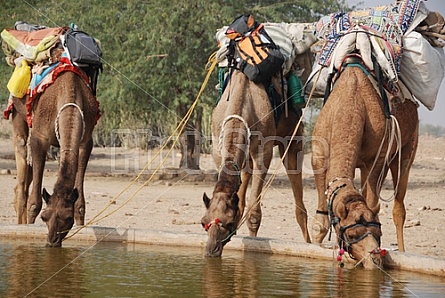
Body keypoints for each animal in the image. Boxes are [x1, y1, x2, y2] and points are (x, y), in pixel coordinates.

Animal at [10, 51, 99, 247]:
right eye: (45, 217)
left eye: (67, 218)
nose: (52, 241)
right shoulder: (39, 138)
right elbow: (34, 203)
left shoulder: (85, 141)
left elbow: (80, 204)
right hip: (17, 112)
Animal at [201, 51, 312, 256]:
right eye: (203, 221)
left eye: (228, 222)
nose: (211, 250)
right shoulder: (218, 151)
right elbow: (239, 201)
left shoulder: (264, 150)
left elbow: (254, 214)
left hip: (293, 136)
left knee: (297, 190)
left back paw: (309, 242)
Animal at [310, 60, 418, 268]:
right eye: (351, 234)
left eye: (378, 233)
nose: (374, 258)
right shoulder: (318, 157)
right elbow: (320, 223)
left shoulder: (377, 158)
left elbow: (373, 204)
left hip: (408, 147)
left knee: (398, 208)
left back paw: (403, 251)